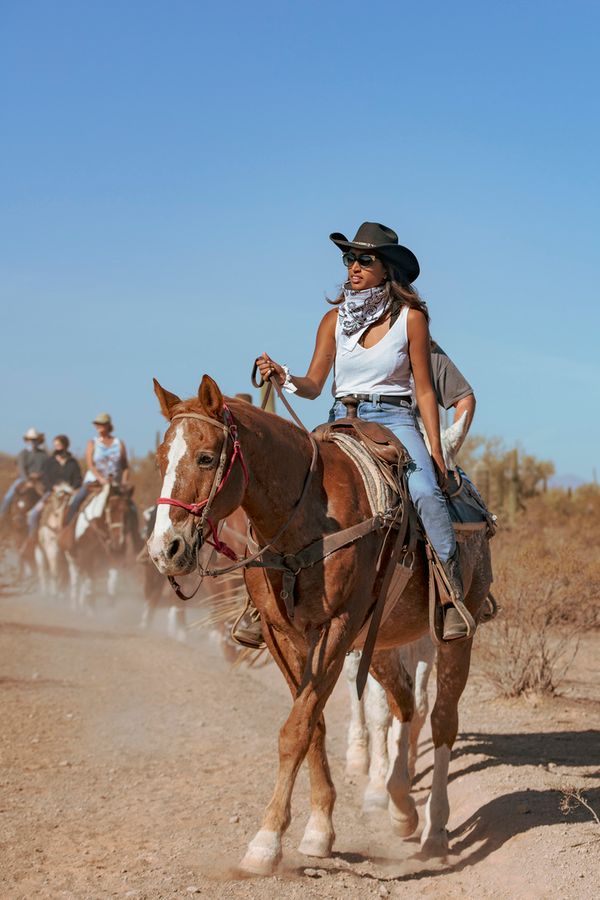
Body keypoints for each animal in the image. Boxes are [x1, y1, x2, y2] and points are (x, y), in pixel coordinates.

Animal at [146, 376, 492, 876]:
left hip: (451, 638)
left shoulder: (339, 627)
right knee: (404, 704)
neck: (304, 516)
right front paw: (320, 828)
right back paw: (399, 803)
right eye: (160, 459)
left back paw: (435, 829)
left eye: (206, 457)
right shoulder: (281, 635)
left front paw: (266, 842)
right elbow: (312, 723)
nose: (164, 550)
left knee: (442, 719)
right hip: (382, 642)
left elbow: (296, 729)